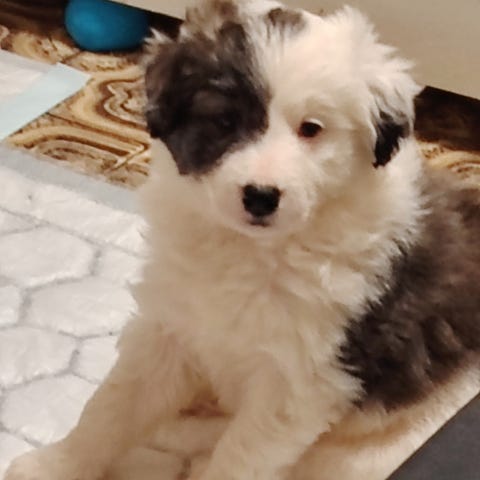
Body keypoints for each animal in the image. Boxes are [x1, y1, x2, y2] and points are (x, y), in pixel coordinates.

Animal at [5, 1, 480, 480]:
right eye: (226, 120)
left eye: (311, 129)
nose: (261, 196)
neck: (252, 250)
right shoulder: (172, 325)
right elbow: (112, 404)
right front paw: (54, 464)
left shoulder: (300, 383)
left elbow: (239, 457)